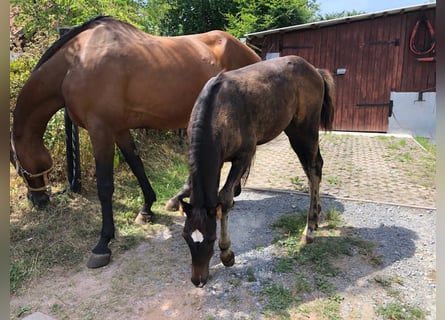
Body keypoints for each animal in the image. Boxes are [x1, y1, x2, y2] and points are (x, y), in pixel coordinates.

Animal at [9, 16, 260, 268]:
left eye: (16, 164)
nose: (37, 200)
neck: (76, 62)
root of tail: (250, 52)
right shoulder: (119, 130)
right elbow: (137, 165)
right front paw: (147, 209)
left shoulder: (101, 131)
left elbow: (105, 186)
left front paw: (103, 244)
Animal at [172, 55, 334, 288]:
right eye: (185, 236)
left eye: (211, 239)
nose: (198, 281)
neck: (219, 109)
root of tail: (315, 70)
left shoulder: (244, 156)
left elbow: (225, 198)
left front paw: (227, 254)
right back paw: (317, 217)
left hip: (304, 130)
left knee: (314, 169)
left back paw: (310, 229)